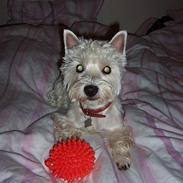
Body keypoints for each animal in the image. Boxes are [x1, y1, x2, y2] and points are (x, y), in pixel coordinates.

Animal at [47, 29, 133, 170]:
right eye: (79, 68)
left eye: (107, 69)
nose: (90, 89)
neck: (94, 112)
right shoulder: (67, 119)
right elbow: (66, 129)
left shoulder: (117, 126)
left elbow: (120, 139)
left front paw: (122, 159)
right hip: (60, 88)